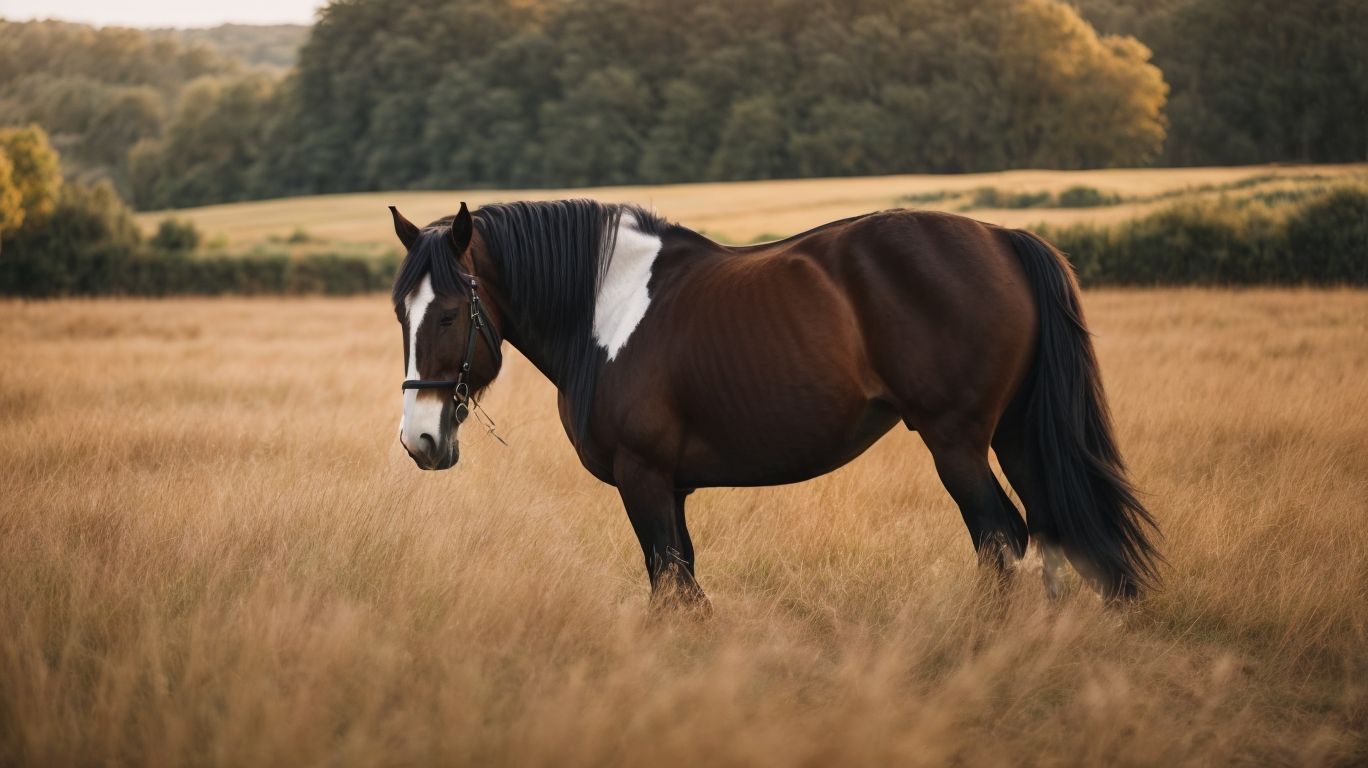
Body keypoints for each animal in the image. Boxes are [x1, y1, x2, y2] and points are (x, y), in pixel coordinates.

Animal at [388, 199, 1160, 607]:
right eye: (402, 312)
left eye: (451, 313)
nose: (419, 440)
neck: (605, 309)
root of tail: (1002, 237)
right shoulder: (673, 487)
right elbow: (685, 580)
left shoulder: (644, 479)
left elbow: (669, 585)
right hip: (1018, 435)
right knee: (1054, 531)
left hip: (957, 442)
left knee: (1001, 536)